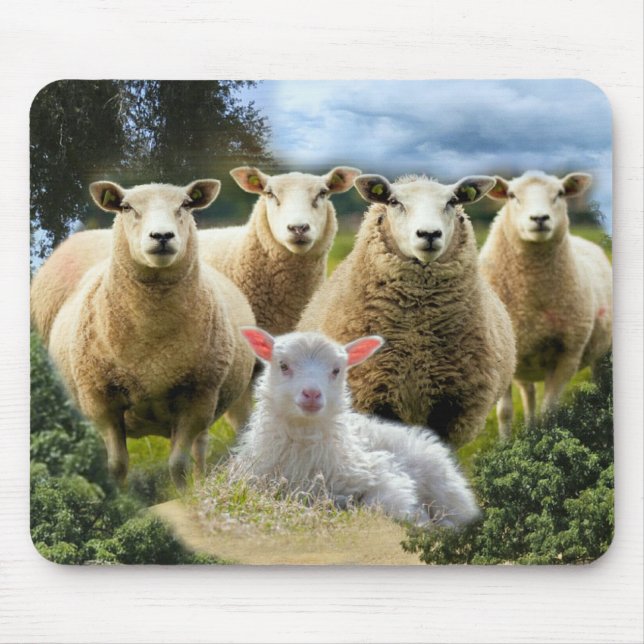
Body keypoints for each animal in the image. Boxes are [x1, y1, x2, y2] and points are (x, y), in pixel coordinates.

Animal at [44, 179, 256, 488]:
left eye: (185, 205)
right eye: (126, 207)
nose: (162, 235)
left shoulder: (197, 399)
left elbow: (178, 463)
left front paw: (184, 493)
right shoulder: (100, 400)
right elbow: (117, 464)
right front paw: (118, 495)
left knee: (200, 447)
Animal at [234, 328, 480, 527]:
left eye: (336, 370)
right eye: (283, 365)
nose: (312, 394)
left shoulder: (381, 474)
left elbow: (381, 502)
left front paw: (420, 519)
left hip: (444, 487)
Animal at [297, 174, 516, 444]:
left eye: (452, 201)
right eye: (394, 201)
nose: (429, 233)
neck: (416, 335)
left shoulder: (451, 404)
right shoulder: (373, 393)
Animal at [479, 170, 612, 429]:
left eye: (560, 193)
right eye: (512, 195)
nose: (539, 218)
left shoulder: (567, 356)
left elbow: (549, 412)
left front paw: (545, 434)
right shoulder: (500, 358)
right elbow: (505, 412)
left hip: (601, 352)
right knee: (528, 394)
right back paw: (529, 429)